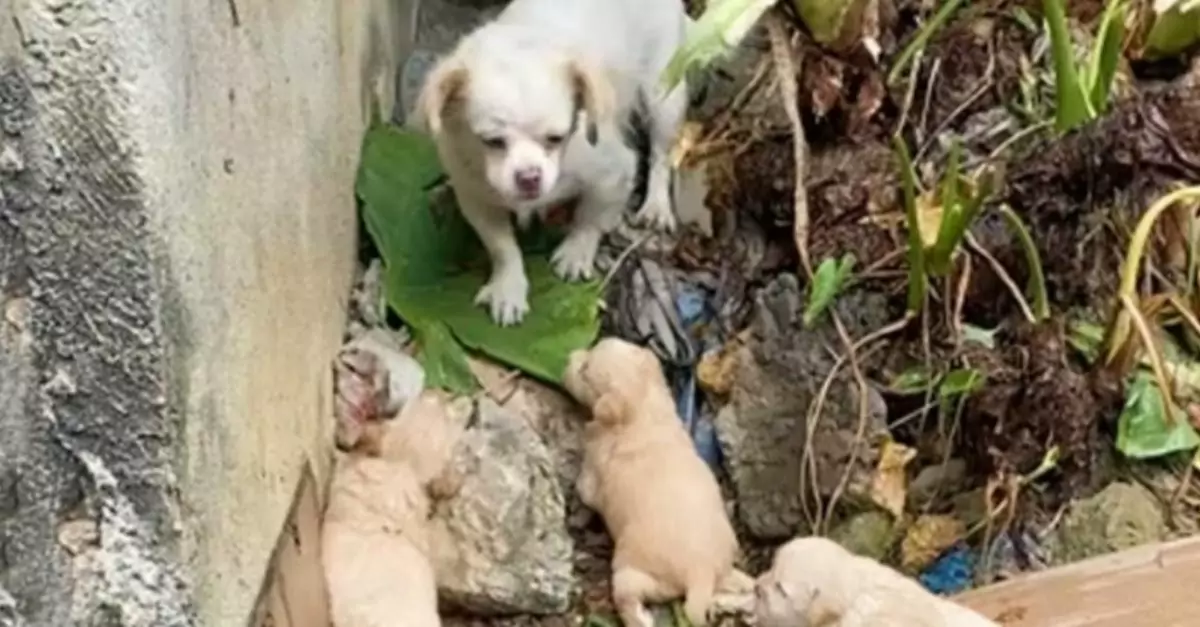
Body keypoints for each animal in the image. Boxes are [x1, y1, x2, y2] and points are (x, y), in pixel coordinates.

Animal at [415, 0, 691, 324]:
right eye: (492, 141)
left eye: (556, 138)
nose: (529, 176)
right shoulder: (475, 196)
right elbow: (502, 246)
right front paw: (509, 288)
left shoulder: (615, 174)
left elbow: (590, 218)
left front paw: (575, 253)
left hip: (663, 94)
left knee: (661, 153)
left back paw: (656, 206)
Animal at [561, 336, 748, 624]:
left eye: (584, 371)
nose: (568, 357)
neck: (642, 409)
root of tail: (700, 572)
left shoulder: (592, 474)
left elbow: (584, 488)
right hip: (725, 570)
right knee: (743, 585)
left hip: (634, 574)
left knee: (629, 598)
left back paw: (640, 618)